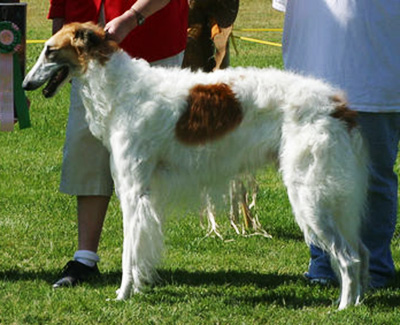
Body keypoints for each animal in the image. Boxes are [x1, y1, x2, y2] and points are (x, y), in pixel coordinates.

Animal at [23, 22, 368, 308]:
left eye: (49, 50)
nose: (25, 83)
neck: (119, 88)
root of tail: (337, 105)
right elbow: (138, 250)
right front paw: (137, 287)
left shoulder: (133, 190)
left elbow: (127, 251)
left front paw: (123, 294)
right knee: (361, 252)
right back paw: (357, 302)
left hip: (308, 193)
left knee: (349, 258)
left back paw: (343, 308)